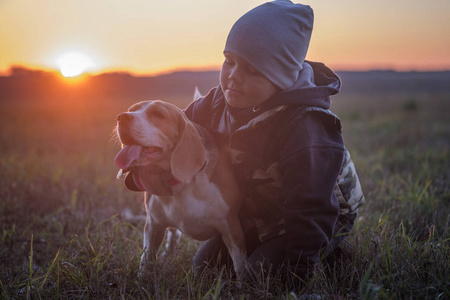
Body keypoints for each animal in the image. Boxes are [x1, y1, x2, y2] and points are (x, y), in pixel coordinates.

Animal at [113, 99, 246, 278]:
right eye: (132, 110)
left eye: (158, 114)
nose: (122, 117)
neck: (180, 182)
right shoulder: (153, 225)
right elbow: (146, 259)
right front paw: (141, 279)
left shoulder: (232, 230)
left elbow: (240, 267)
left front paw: (244, 283)